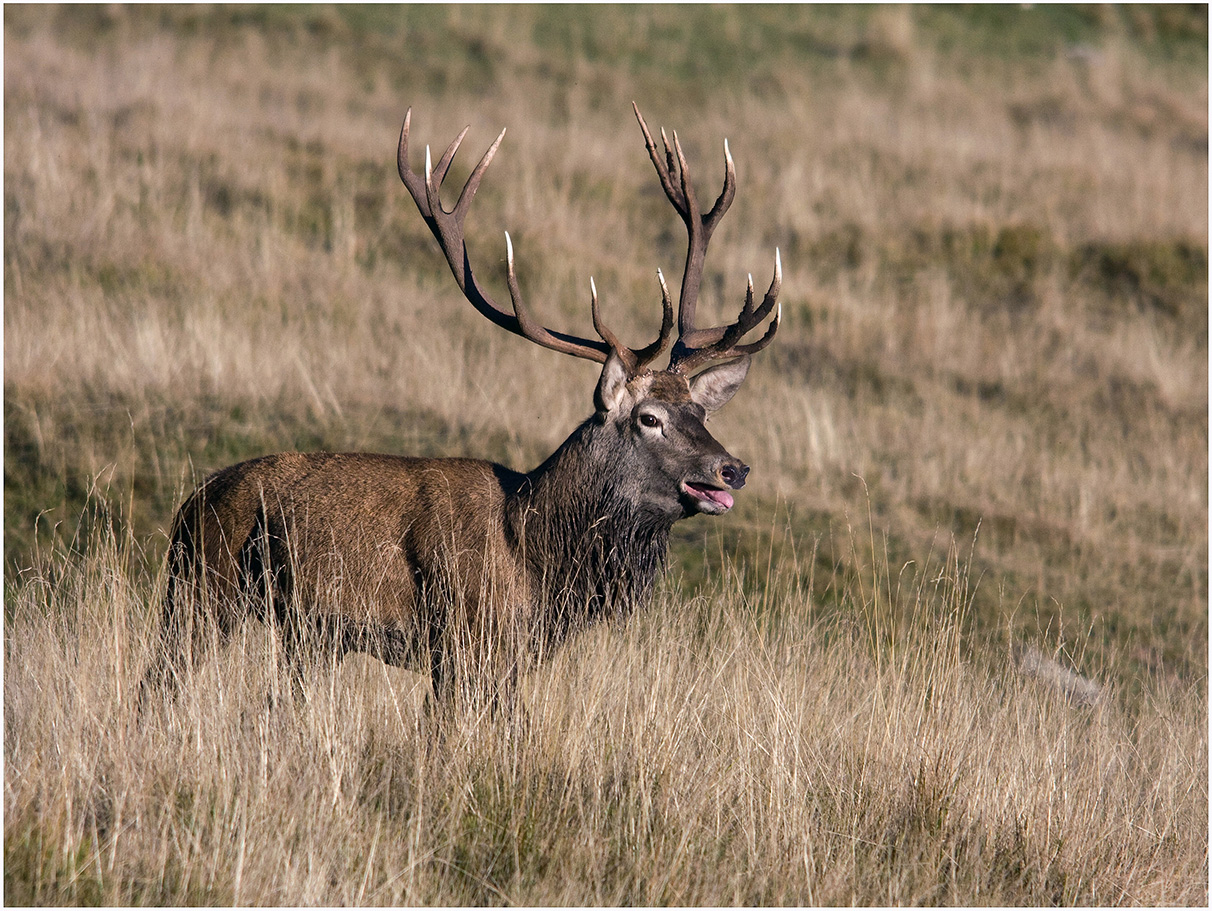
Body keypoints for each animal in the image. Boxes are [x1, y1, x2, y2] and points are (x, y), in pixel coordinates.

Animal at [140, 103, 780, 712]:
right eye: (649, 418)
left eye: (703, 415)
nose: (734, 468)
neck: (538, 561)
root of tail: (189, 504)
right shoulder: (464, 642)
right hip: (200, 591)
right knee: (160, 682)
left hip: (306, 633)